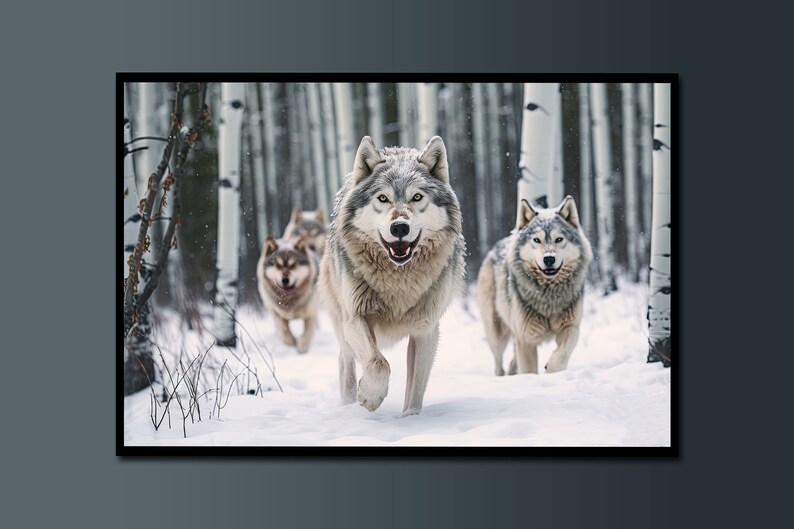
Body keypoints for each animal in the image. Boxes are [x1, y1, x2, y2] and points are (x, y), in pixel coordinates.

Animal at [319, 135, 466, 416]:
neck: (399, 281)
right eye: (383, 198)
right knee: (346, 360)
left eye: (417, 197)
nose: (399, 227)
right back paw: (348, 402)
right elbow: (379, 363)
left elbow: (415, 391)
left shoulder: (426, 331)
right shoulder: (355, 318)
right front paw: (370, 396)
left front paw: (410, 419)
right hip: (341, 323)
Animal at [477, 196, 592, 376]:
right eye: (536, 240)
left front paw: (551, 369)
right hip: (497, 335)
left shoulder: (571, 327)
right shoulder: (526, 340)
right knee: (498, 364)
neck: (549, 296)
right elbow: (528, 370)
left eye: (559, 239)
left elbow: (561, 356)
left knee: (512, 363)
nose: (549, 259)